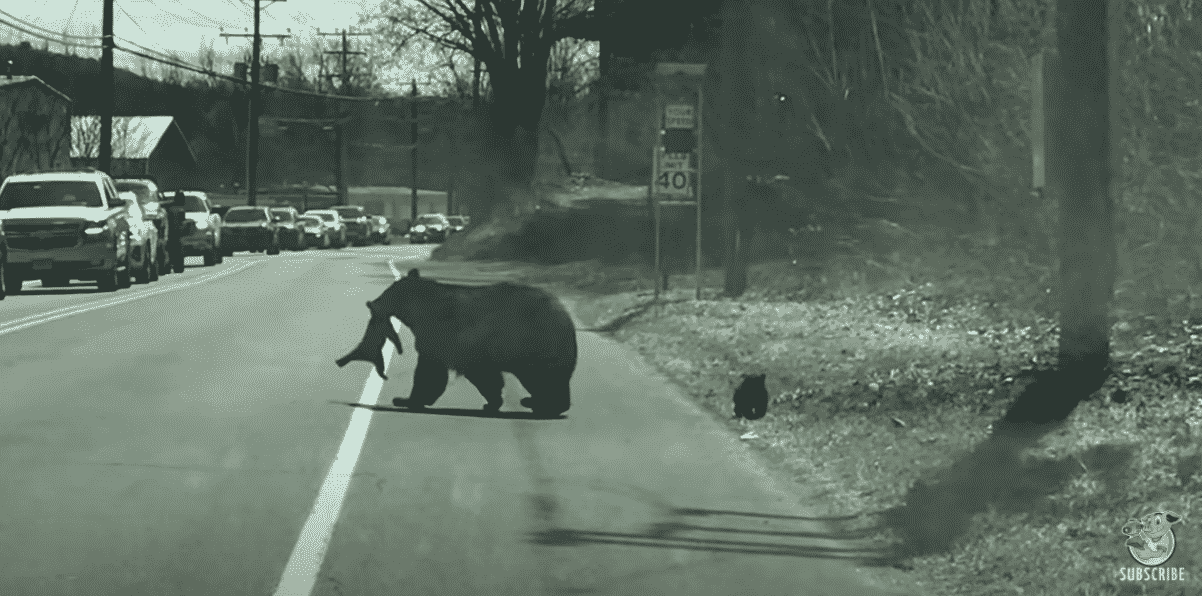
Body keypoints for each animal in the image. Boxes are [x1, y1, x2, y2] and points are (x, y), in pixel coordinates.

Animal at [334, 267, 576, 415]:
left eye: (388, 292)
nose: (372, 303)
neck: (421, 311)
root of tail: (566, 316)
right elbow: (480, 376)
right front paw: (492, 403)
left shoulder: (446, 336)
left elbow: (431, 372)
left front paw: (407, 399)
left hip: (534, 347)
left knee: (544, 379)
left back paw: (541, 403)